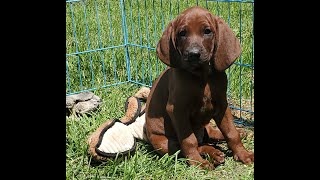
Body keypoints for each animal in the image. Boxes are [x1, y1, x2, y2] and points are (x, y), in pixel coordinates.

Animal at [144, 6, 252, 169]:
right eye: (182, 33)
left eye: (207, 31)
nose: (193, 54)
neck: (202, 75)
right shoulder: (177, 110)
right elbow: (189, 141)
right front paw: (197, 162)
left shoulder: (222, 105)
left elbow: (231, 133)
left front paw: (243, 154)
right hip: (163, 143)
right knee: (190, 146)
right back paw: (213, 154)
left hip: (205, 125)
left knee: (212, 133)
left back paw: (238, 134)